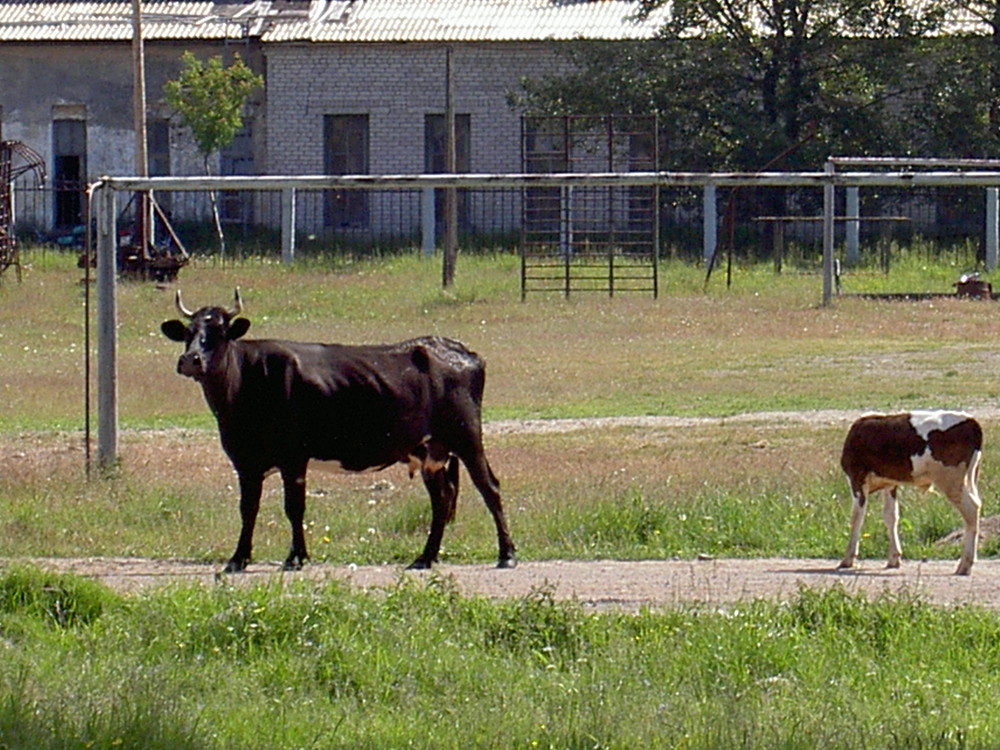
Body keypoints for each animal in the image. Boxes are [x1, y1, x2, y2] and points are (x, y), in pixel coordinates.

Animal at [160, 290, 520, 572]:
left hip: (467, 436)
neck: (244, 385)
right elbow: (248, 509)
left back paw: (507, 554)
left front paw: (296, 557)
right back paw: (425, 557)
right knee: (442, 498)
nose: (191, 360)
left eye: (219, 332)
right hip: (430, 451)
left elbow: (294, 507)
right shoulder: (245, 461)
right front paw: (238, 559)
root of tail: (457, 349)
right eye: (189, 332)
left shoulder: (293, 456)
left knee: (489, 487)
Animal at [836, 412, 984, 576]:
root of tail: (971, 420)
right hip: (968, 478)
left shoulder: (856, 478)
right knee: (976, 506)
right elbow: (891, 516)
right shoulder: (890, 483)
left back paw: (965, 564)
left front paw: (847, 559)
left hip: (951, 481)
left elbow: (856, 518)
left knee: (971, 510)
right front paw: (894, 558)